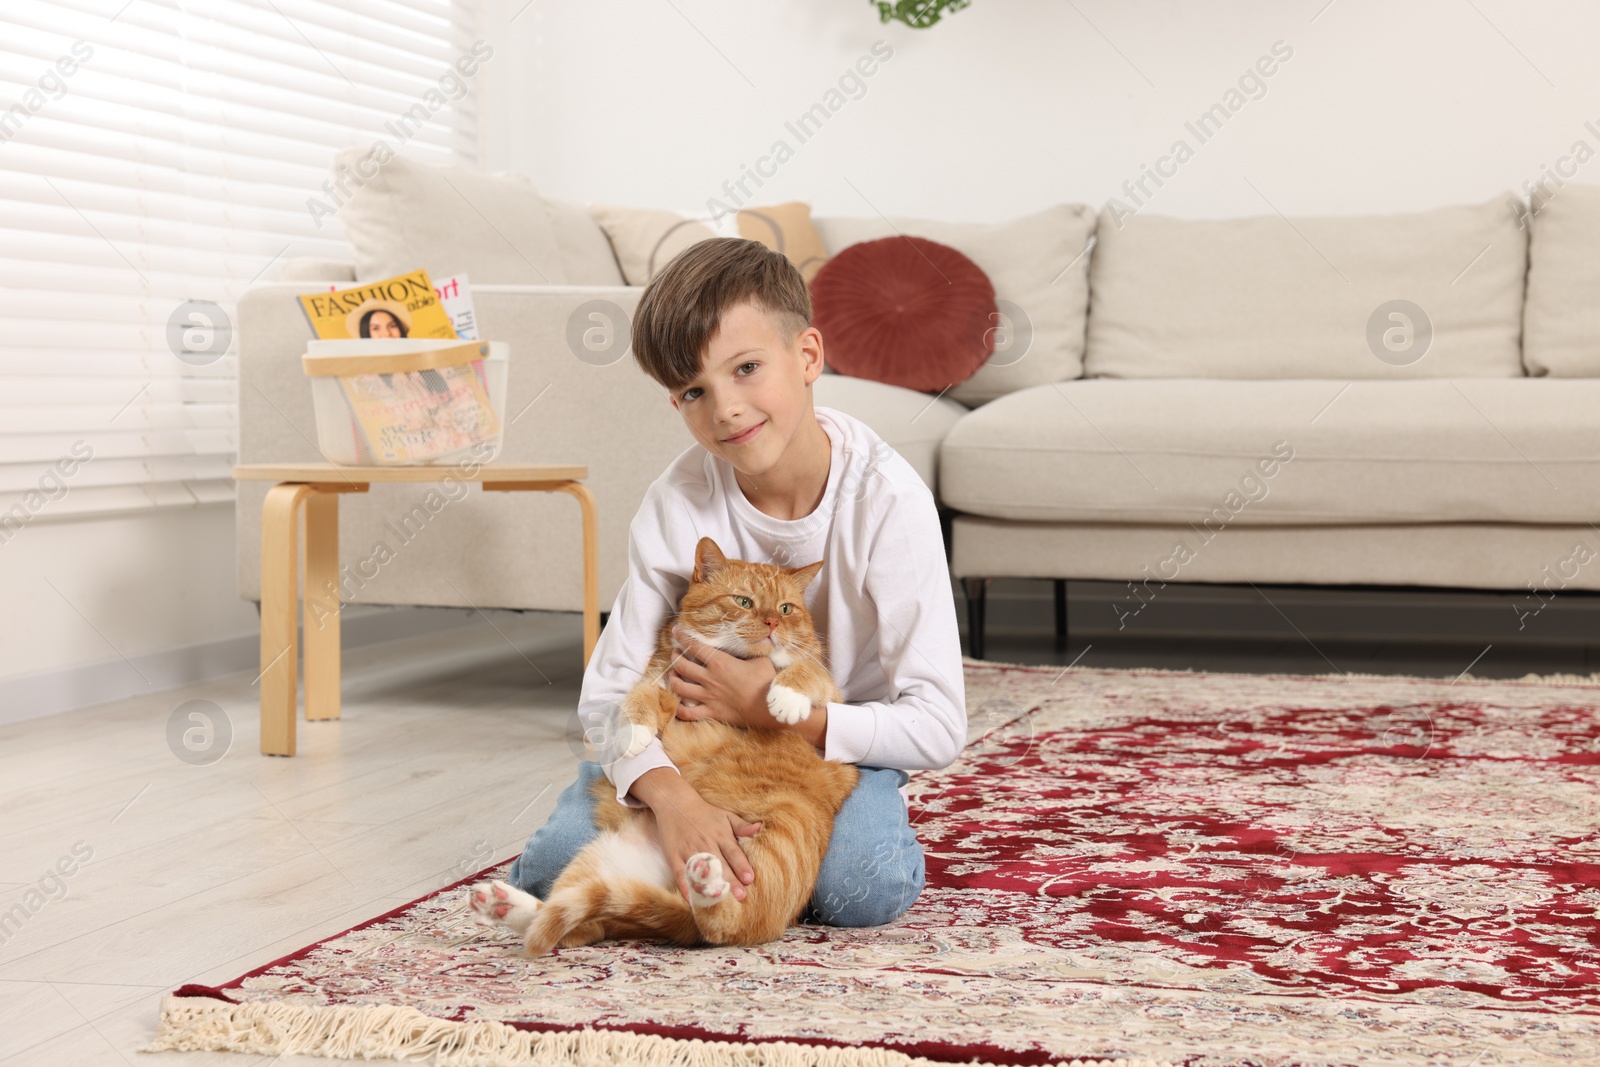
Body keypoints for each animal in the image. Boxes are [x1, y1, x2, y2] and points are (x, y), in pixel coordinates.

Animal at [467, 537, 864, 953]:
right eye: (743, 601)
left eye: (786, 609)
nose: (772, 623)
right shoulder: (662, 681)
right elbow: (639, 696)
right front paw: (633, 735)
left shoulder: (829, 692)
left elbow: (807, 670)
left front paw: (785, 697)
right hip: (599, 860)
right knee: (571, 923)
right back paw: (499, 904)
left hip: (778, 840)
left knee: (723, 922)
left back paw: (705, 879)